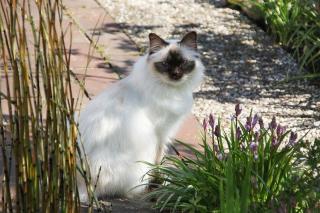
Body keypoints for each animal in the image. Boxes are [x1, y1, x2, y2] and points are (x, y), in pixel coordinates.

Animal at [77, 30, 205, 201]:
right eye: (165, 64)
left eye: (183, 63)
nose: (175, 74)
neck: (170, 89)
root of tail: (82, 185)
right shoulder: (161, 134)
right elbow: (157, 163)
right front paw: (158, 182)